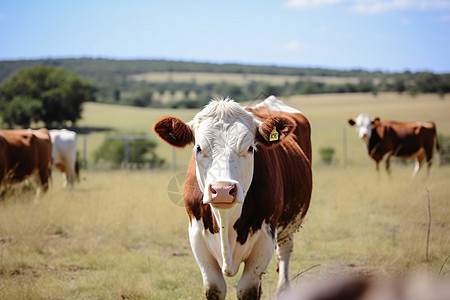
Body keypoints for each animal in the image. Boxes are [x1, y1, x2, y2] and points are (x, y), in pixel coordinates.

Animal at [153, 96, 312, 300]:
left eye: (251, 148)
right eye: (198, 148)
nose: (222, 190)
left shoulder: (265, 237)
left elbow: (248, 289)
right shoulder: (196, 236)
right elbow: (215, 288)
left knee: (284, 251)